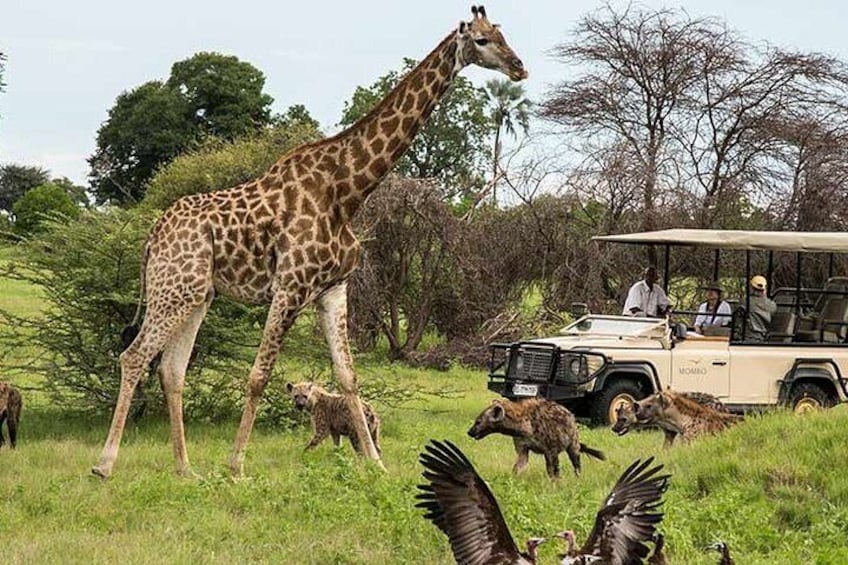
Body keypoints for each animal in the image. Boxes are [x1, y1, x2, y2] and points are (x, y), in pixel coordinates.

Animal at [91, 5, 527, 479]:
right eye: (482, 41)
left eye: (502, 34)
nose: (519, 67)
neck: (347, 192)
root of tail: (154, 235)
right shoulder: (289, 286)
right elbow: (259, 375)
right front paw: (237, 464)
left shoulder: (332, 290)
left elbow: (348, 376)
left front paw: (376, 464)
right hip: (174, 288)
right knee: (135, 356)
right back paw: (105, 464)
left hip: (197, 294)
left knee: (171, 369)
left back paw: (185, 470)